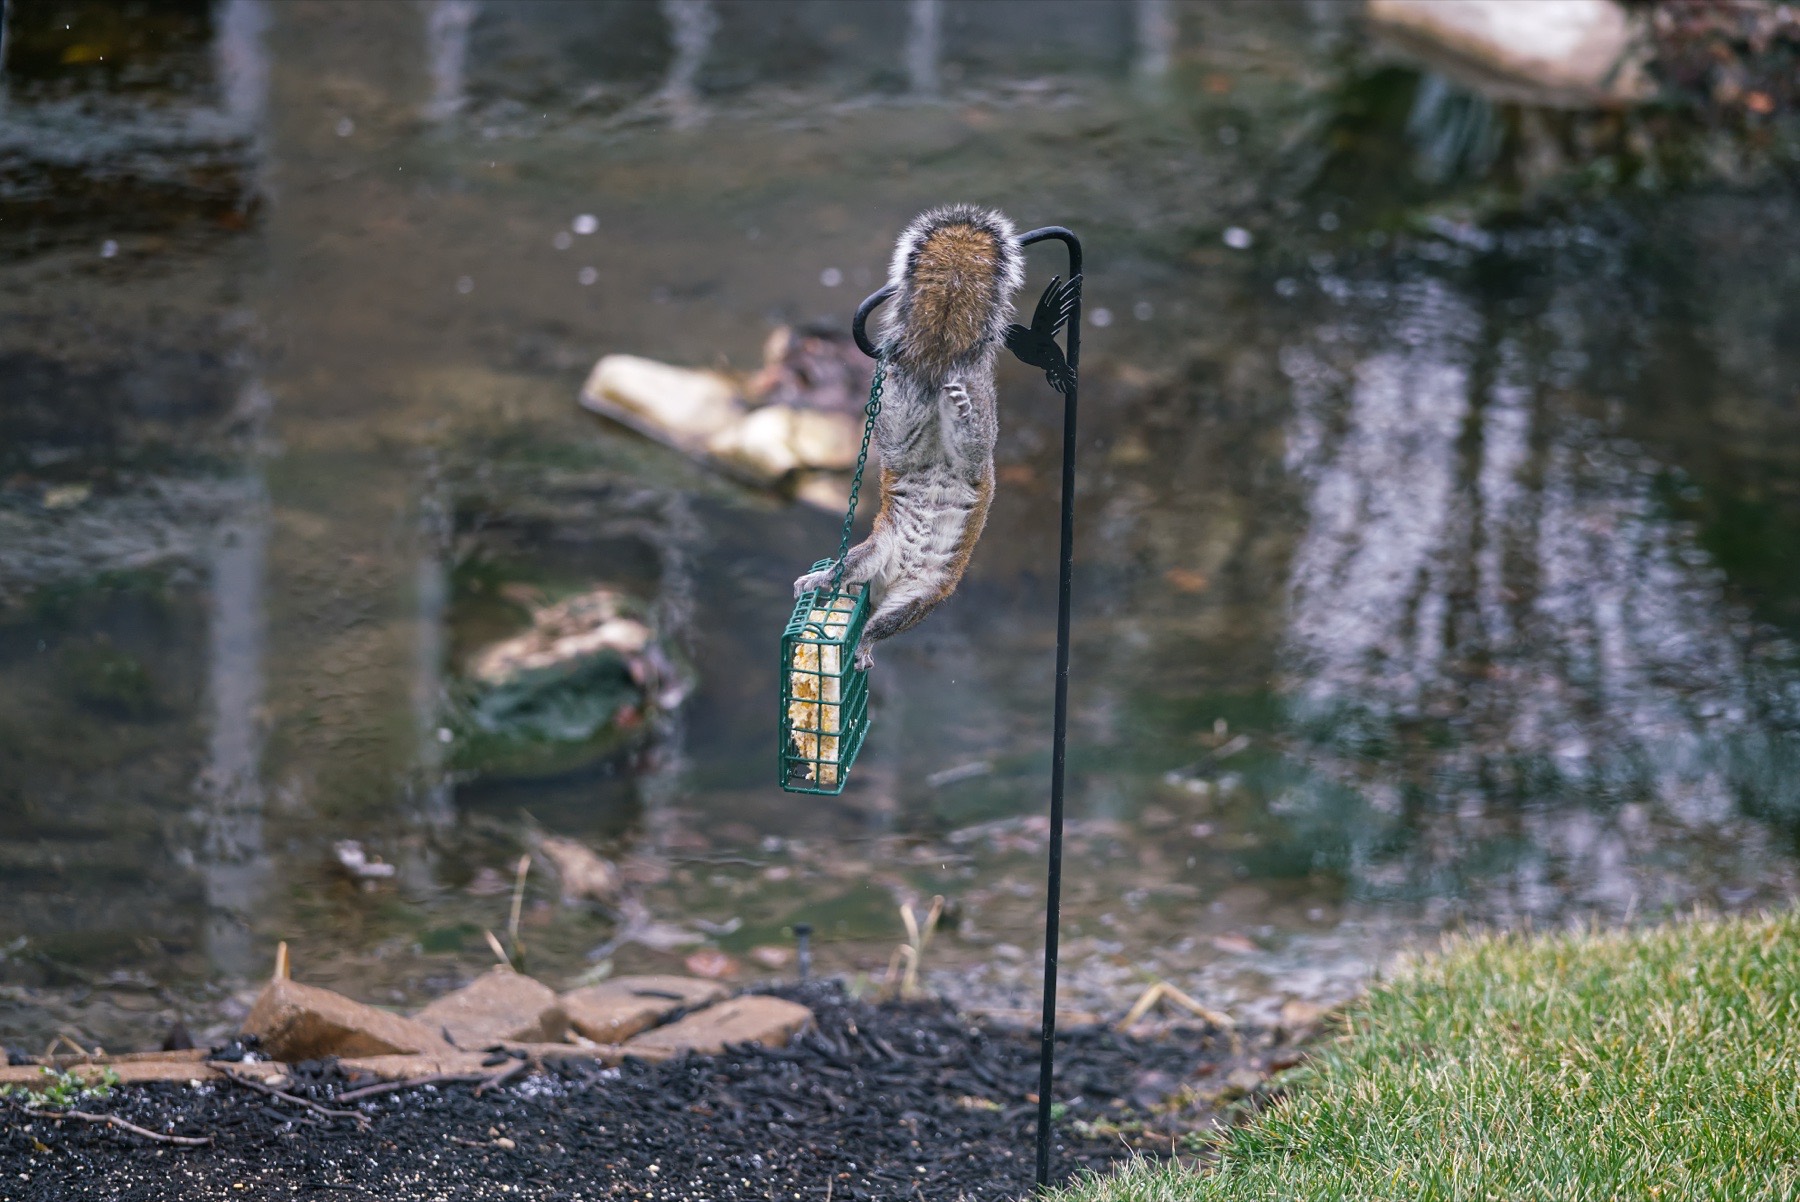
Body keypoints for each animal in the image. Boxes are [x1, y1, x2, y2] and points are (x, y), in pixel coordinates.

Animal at [794, 204, 1026, 669]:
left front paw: (862, 643)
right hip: (893, 489)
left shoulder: (917, 601)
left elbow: (881, 626)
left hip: (927, 577)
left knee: (970, 441)